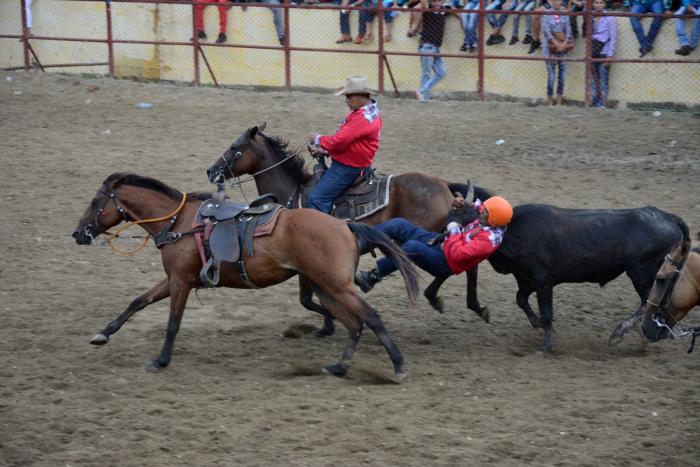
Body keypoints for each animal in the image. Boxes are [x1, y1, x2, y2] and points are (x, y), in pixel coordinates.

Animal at [73, 174, 418, 378]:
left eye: (95, 202)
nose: (78, 233)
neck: (178, 223)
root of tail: (345, 226)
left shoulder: (181, 281)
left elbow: (172, 323)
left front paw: (161, 361)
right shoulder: (174, 279)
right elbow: (137, 301)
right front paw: (102, 334)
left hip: (337, 286)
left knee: (370, 317)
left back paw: (398, 365)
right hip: (326, 287)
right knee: (354, 324)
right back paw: (339, 366)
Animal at [205, 122, 494, 330]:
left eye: (235, 147)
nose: (211, 171)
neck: (294, 191)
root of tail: (443, 185)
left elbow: (307, 299)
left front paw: (329, 324)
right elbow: (308, 299)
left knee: (452, 263)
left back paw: (445, 299)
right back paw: (472, 305)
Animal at [460, 204, 688, 352]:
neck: (514, 230)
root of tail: (666, 216)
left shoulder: (543, 280)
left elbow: (546, 312)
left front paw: (546, 345)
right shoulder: (530, 280)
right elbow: (521, 299)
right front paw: (538, 323)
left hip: (641, 272)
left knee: (648, 302)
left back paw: (619, 333)